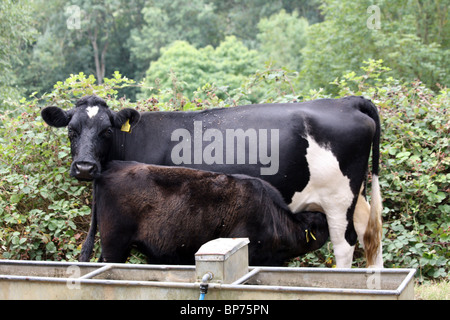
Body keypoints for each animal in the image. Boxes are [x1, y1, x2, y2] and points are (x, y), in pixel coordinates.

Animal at [40, 95, 382, 268]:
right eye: (70, 129)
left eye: (107, 130)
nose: (85, 167)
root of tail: (347, 100)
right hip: (356, 198)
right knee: (370, 236)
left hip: (338, 200)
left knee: (345, 245)